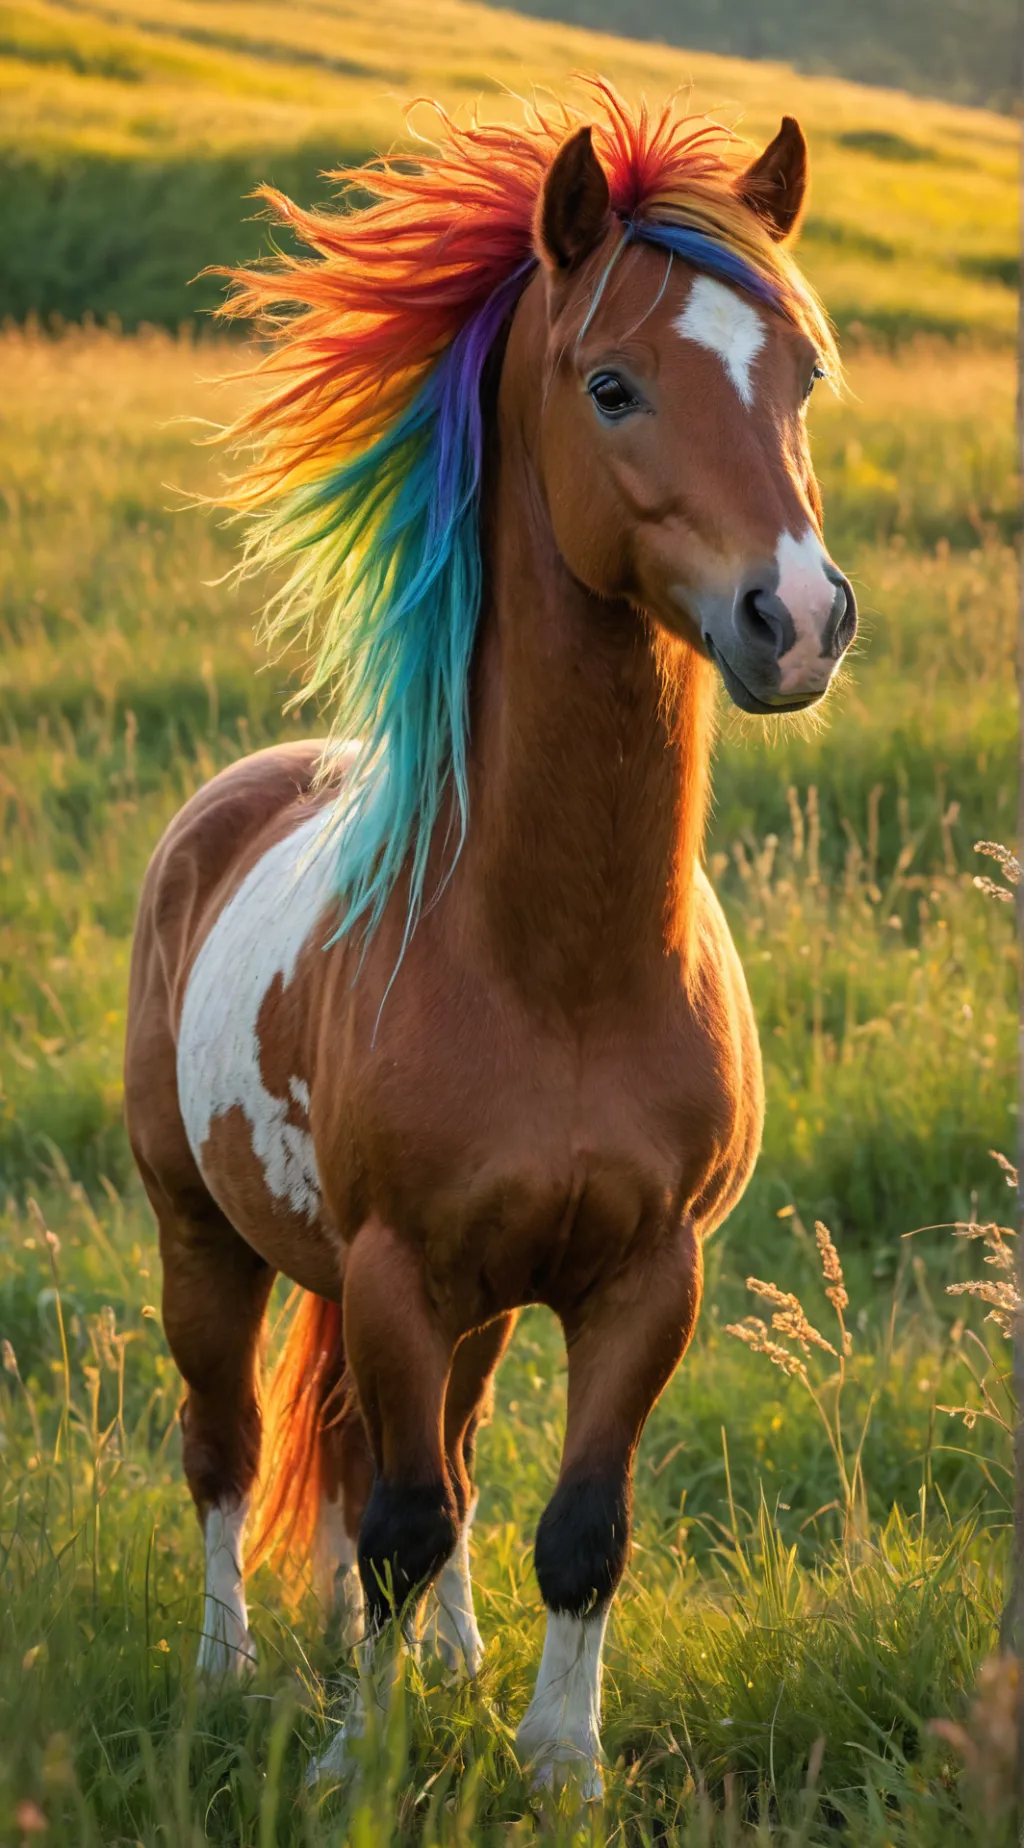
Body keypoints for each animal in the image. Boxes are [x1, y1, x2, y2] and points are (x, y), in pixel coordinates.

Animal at [124, 83, 856, 1795]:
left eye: (798, 377)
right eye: (613, 385)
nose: (797, 619)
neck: (552, 963)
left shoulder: (646, 1277)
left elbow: (573, 1528)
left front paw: (557, 1765)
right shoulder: (395, 1267)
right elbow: (393, 1520)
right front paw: (354, 1764)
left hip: (476, 1297)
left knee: (433, 1449)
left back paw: (447, 1663)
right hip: (205, 1238)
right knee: (230, 1452)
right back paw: (227, 1672)